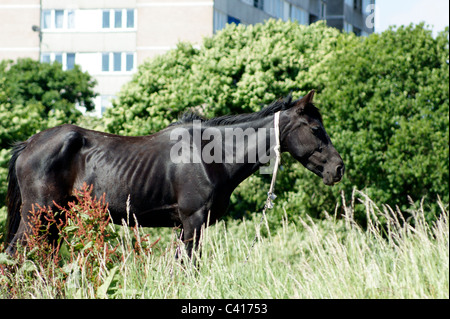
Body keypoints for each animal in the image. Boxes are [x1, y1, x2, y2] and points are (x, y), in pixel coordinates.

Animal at [5, 90, 344, 258]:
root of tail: (29, 144)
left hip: (55, 219)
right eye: (316, 128)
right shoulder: (194, 221)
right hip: (38, 216)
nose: (337, 168)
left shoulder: (187, 226)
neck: (213, 155)